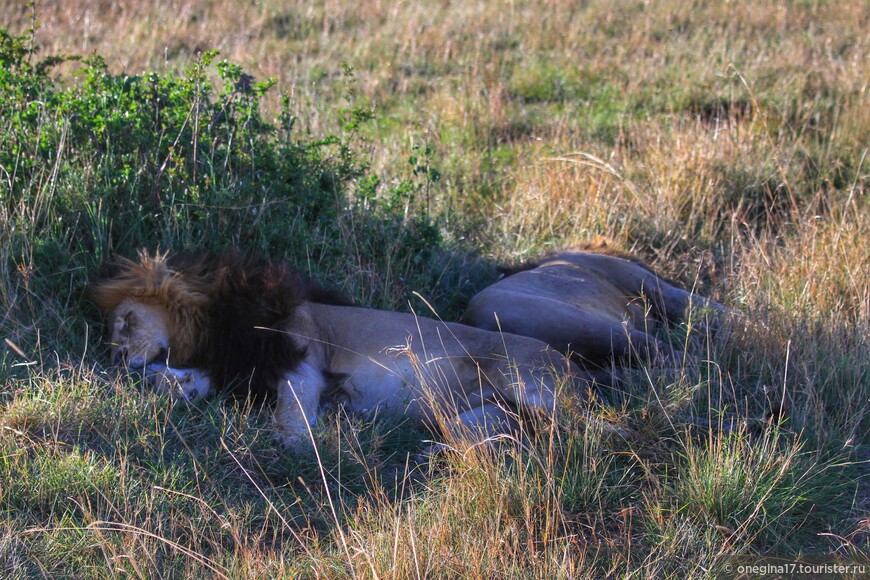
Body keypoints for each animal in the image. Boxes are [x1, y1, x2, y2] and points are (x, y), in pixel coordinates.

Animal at [93, 250, 600, 448]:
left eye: (126, 321)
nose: (116, 360)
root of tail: (573, 368)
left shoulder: (302, 357)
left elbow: (291, 412)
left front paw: (296, 445)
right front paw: (168, 385)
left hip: (530, 384)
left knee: (599, 429)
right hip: (478, 416)